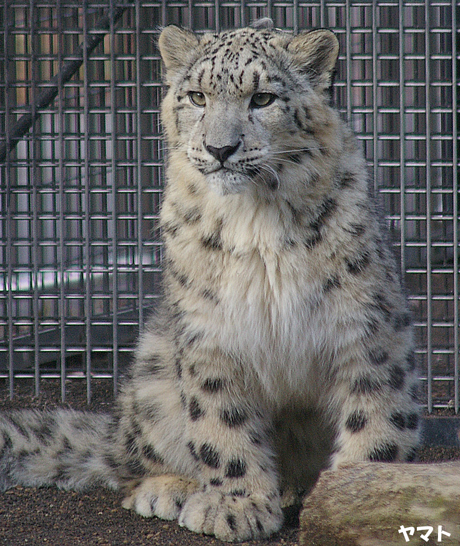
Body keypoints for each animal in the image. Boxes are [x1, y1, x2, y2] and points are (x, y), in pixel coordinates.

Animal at [0, 20, 420, 540]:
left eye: (262, 98)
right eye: (197, 96)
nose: (221, 148)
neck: (257, 221)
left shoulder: (366, 327)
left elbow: (375, 420)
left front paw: (357, 495)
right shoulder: (211, 332)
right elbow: (223, 423)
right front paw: (235, 506)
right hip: (153, 373)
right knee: (127, 462)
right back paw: (171, 489)